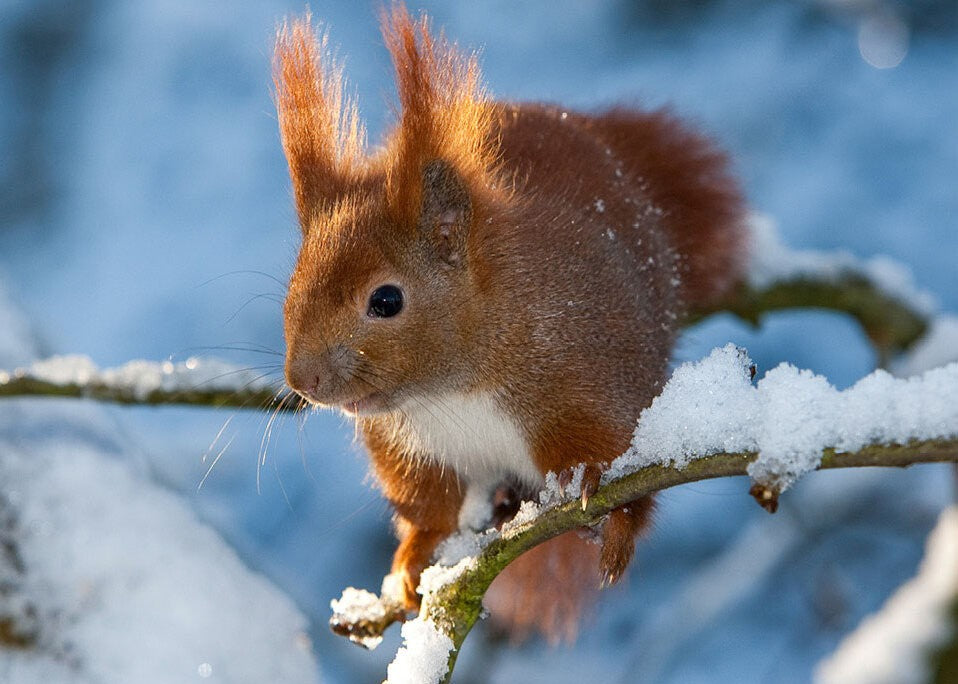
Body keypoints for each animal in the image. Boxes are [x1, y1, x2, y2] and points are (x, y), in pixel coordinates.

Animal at [275, 4, 746, 643]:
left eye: (387, 300)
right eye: (293, 283)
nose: (304, 381)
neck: (452, 390)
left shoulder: (592, 376)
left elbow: (628, 471)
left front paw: (616, 521)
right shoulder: (407, 447)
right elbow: (429, 509)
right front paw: (410, 561)